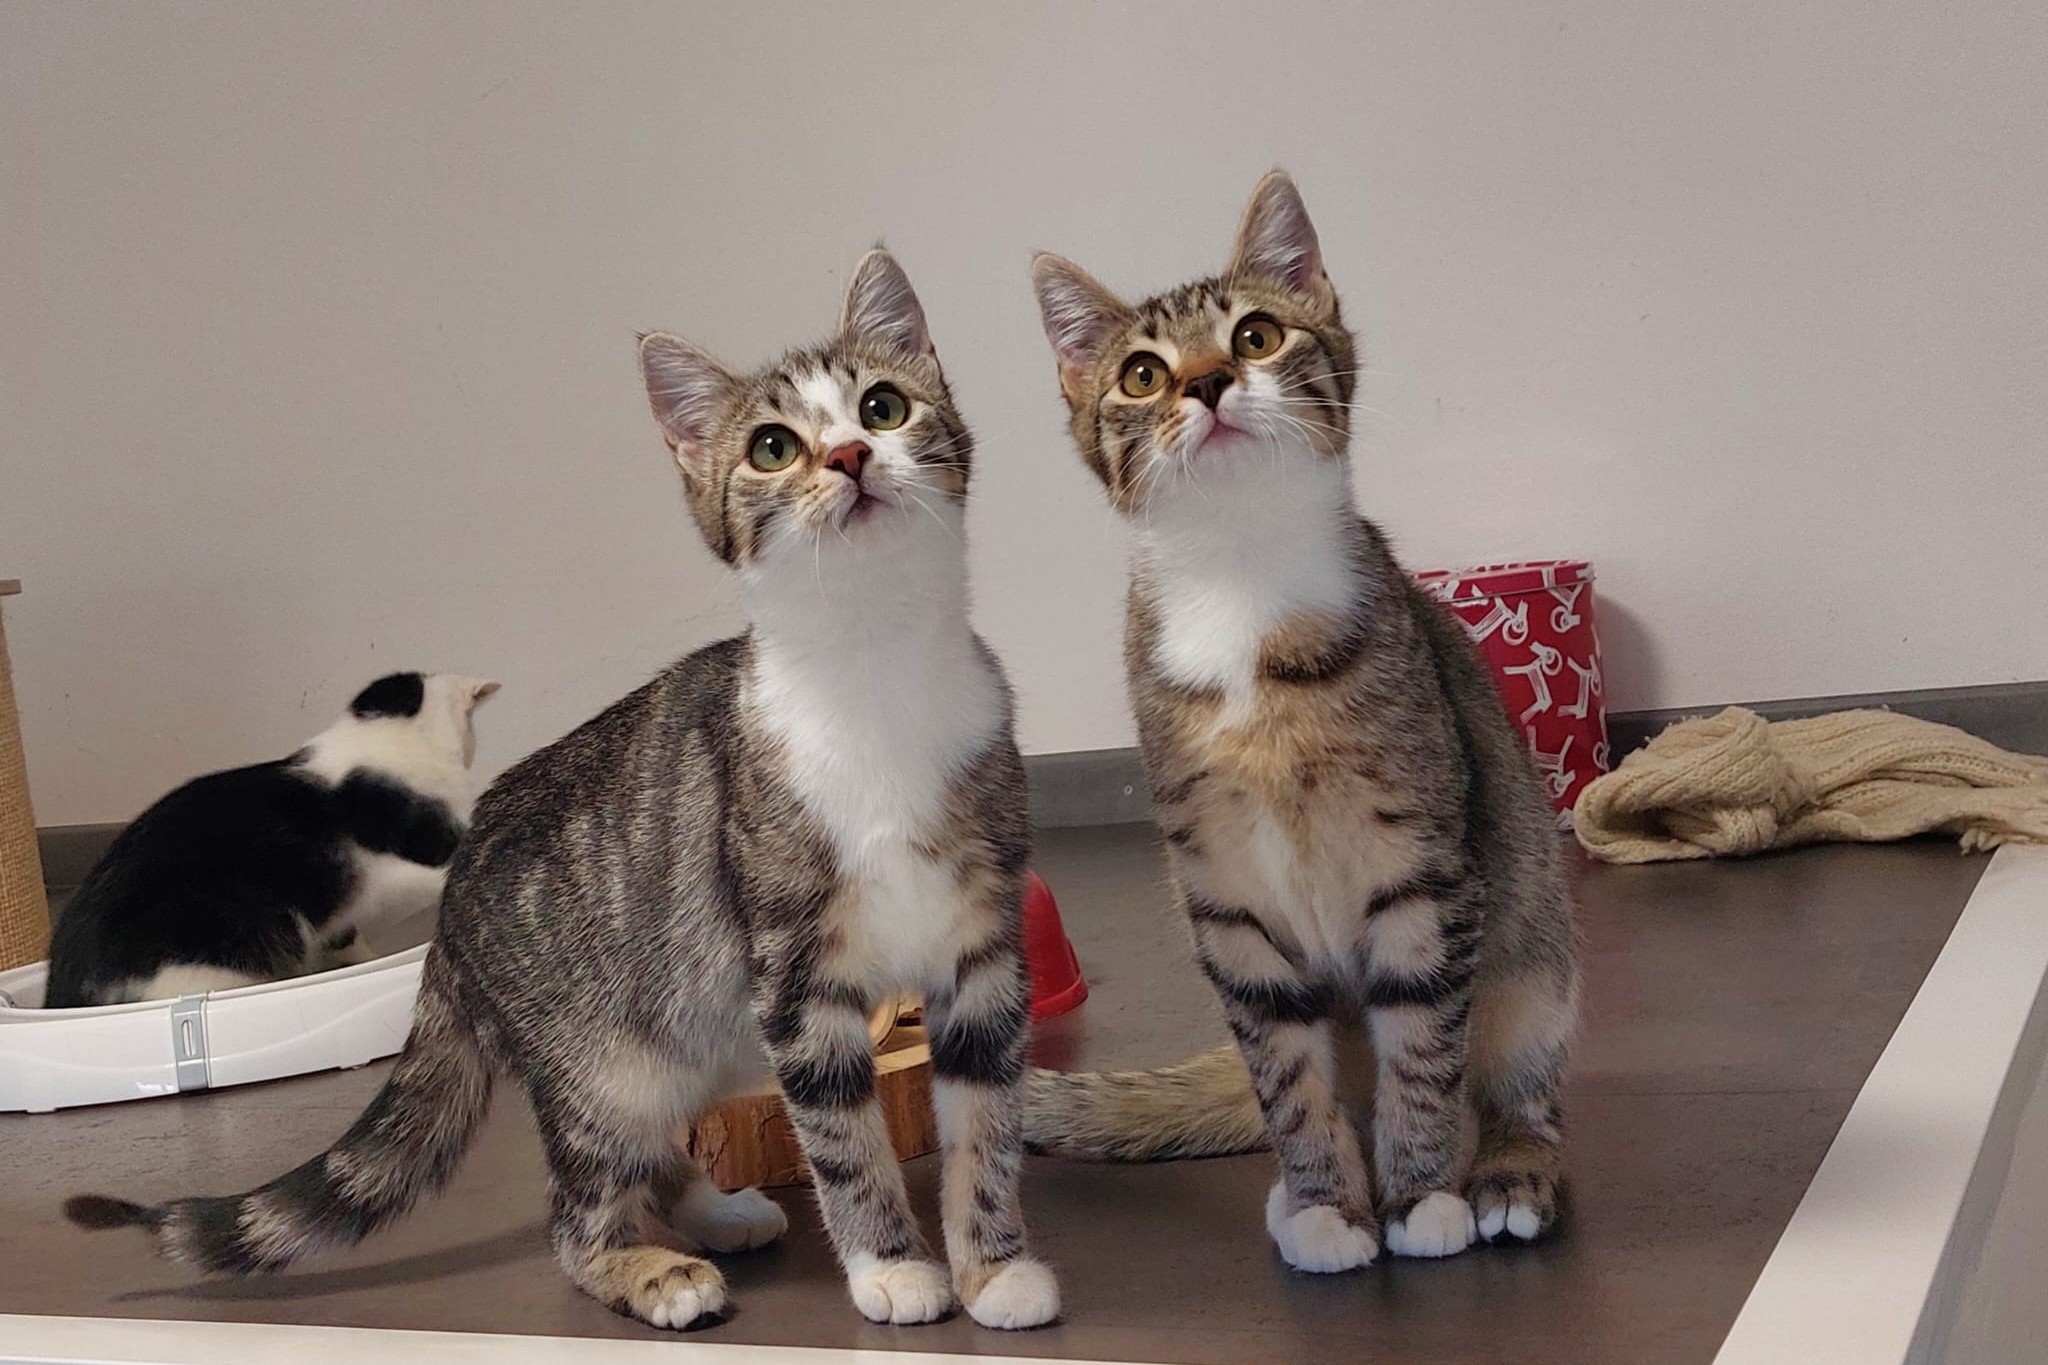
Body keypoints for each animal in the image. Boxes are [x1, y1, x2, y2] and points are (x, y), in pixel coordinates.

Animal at [1022, 172, 1580, 1268]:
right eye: (1142, 374)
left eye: (1255, 335)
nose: (1205, 384)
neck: (1244, 590)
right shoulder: (1228, 901)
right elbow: (1285, 1072)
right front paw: (1328, 1203)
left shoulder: (1422, 870)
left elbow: (1421, 1050)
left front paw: (1419, 1196)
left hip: (1534, 952)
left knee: (1520, 1090)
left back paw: (1503, 1171)